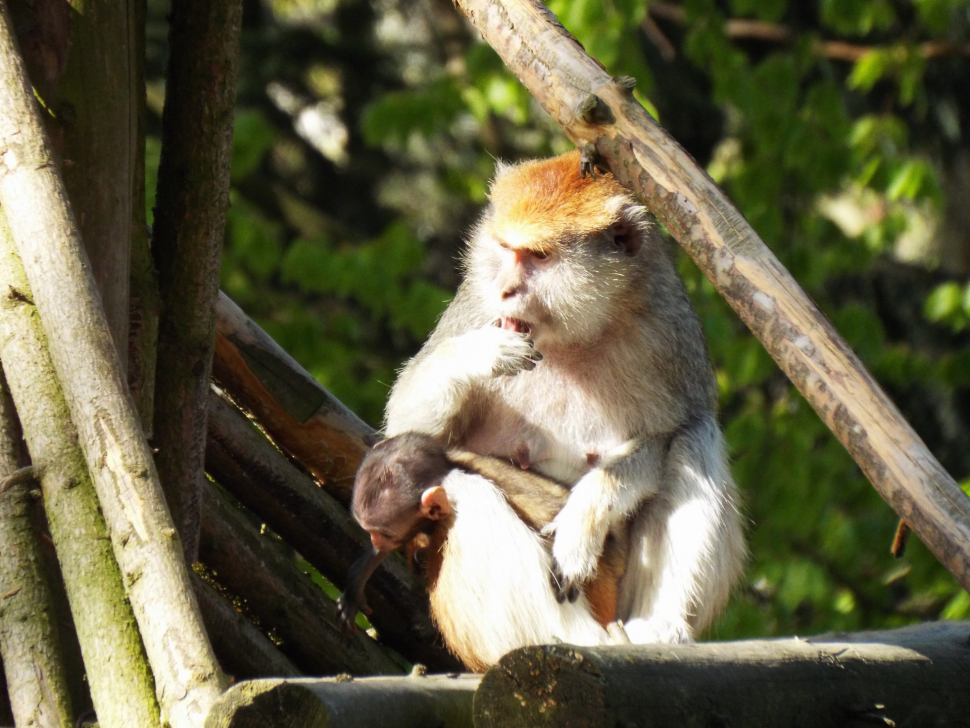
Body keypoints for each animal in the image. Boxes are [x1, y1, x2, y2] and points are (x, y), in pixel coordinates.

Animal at [382, 149, 744, 644]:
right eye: (505, 249)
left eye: (537, 256)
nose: (506, 290)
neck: (577, 332)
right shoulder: (475, 303)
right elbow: (400, 448)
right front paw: (481, 353)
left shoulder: (669, 332)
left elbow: (666, 437)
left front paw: (582, 523)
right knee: (456, 485)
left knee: (696, 436)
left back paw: (655, 629)